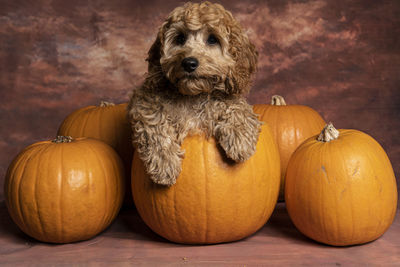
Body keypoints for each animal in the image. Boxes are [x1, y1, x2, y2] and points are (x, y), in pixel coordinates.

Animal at [126, 1, 260, 186]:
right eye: (180, 38)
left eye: (212, 39)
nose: (189, 63)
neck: (193, 95)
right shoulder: (145, 101)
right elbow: (155, 124)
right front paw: (165, 163)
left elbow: (235, 104)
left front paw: (239, 137)